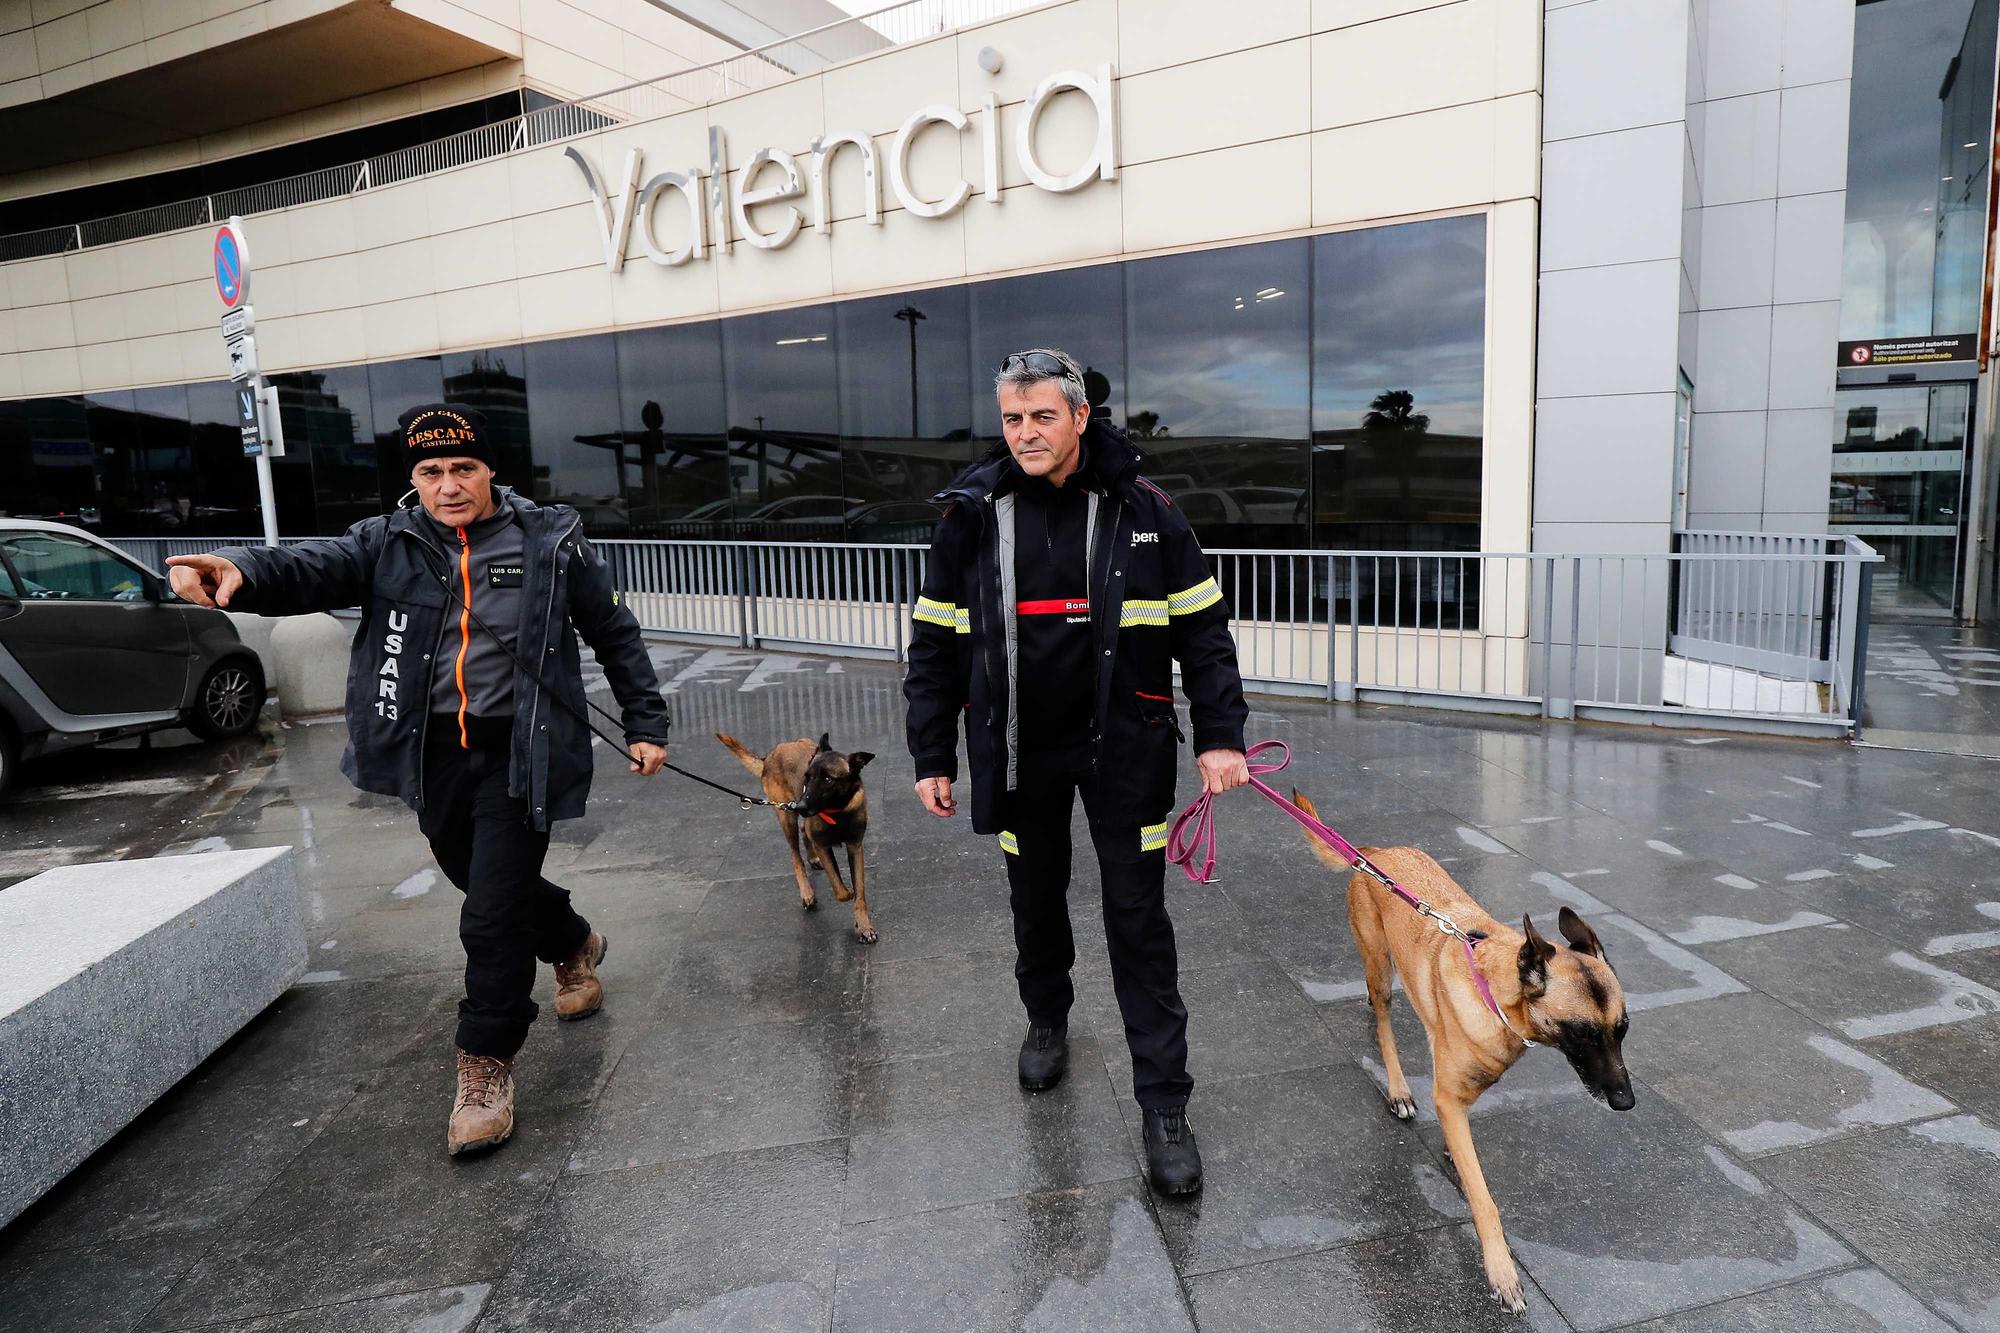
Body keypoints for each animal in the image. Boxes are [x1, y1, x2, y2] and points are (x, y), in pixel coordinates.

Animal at [720, 732, 876, 940]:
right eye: (807, 778)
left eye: (828, 779)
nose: (800, 806)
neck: (838, 811)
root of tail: (769, 755)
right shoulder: (822, 846)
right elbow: (840, 890)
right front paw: (847, 893)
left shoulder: (855, 847)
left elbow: (860, 891)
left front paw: (864, 925)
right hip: (786, 817)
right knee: (795, 856)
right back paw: (807, 893)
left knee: (804, 831)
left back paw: (812, 859)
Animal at [1288, 784, 1632, 1312]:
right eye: (1583, 1033)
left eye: (1622, 1029)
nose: (1626, 1101)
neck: (1497, 991)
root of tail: (1374, 854)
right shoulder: (1449, 1097)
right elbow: (1483, 1199)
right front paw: (1501, 1271)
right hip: (1379, 964)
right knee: (1384, 1022)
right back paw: (1397, 1087)